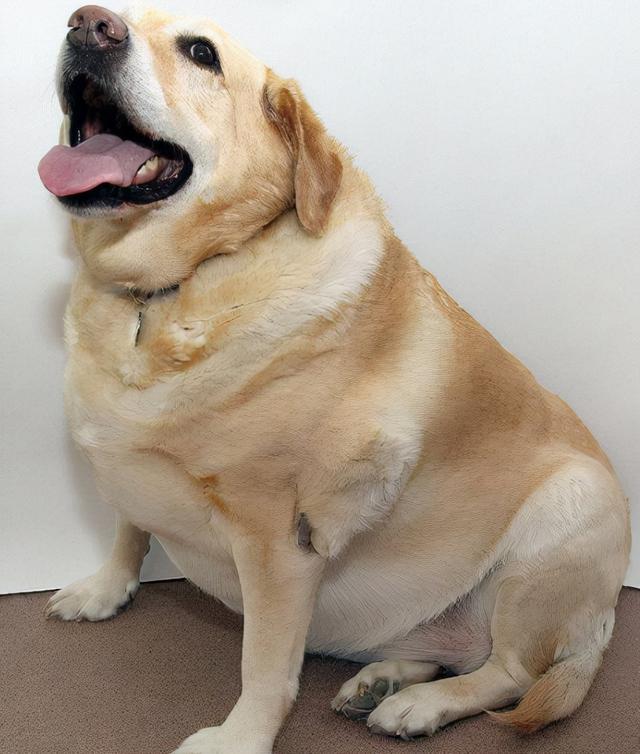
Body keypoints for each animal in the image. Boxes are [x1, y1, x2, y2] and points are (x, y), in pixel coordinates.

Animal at [39, 5, 631, 753]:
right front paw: (105, 588)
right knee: (452, 650)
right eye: (112, 15)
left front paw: (240, 738)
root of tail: (598, 629)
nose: (89, 24)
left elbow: (264, 666)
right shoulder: (127, 458)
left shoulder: (279, 543)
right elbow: (127, 525)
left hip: (565, 517)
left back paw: (421, 705)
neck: (165, 294)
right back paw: (385, 678)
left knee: (511, 673)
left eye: (201, 52)